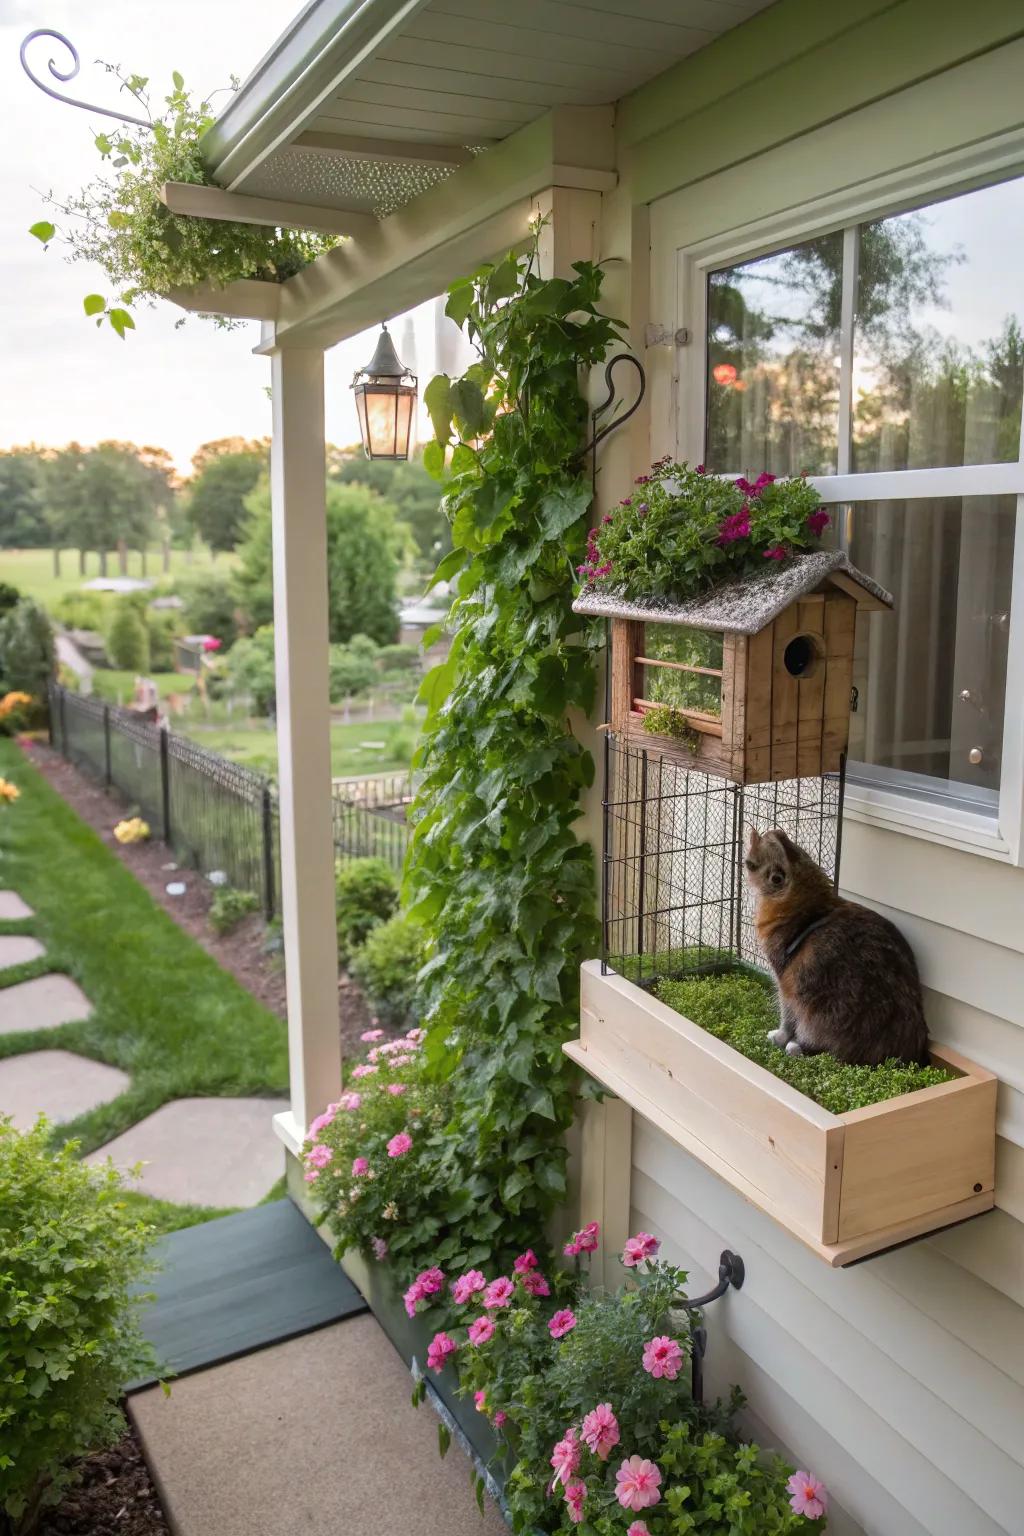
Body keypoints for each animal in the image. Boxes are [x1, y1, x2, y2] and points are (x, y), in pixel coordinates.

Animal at [739, 829, 933, 1069]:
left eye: (751, 864)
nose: (776, 831)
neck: (810, 909)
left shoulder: (785, 981)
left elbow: (787, 1018)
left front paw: (779, 1037)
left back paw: (796, 1047)